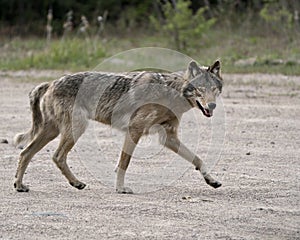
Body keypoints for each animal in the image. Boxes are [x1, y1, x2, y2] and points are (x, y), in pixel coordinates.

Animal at [13, 60, 223, 193]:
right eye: (200, 90)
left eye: (215, 90)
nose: (212, 106)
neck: (171, 91)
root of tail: (51, 82)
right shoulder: (134, 130)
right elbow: (124, 163)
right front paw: (120, 188)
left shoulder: (168, 138)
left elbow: (198, 159)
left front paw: (211, 180)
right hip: (75, 129)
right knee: (56, 156)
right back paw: (76, 182)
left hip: (53, 131)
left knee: (26, 153)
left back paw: (21, 185)